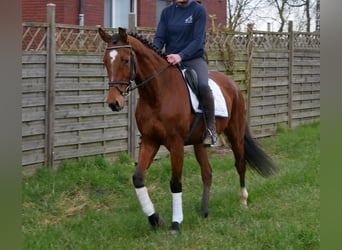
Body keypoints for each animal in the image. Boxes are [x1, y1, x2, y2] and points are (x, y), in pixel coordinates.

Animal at [97, 27, 276, 236]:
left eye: (125, 60)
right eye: (105, 61)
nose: (114, 103)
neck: (158, 93)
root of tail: (232, 84)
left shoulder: (176, 144)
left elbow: (175, 182)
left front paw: (175, 224)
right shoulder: (150, 141)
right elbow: (138, 178)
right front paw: (155, 219)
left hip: (236, 134)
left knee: (240, 164)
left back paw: (243, 201)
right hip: (199, 143)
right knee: (207, 173)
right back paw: (204, 211)